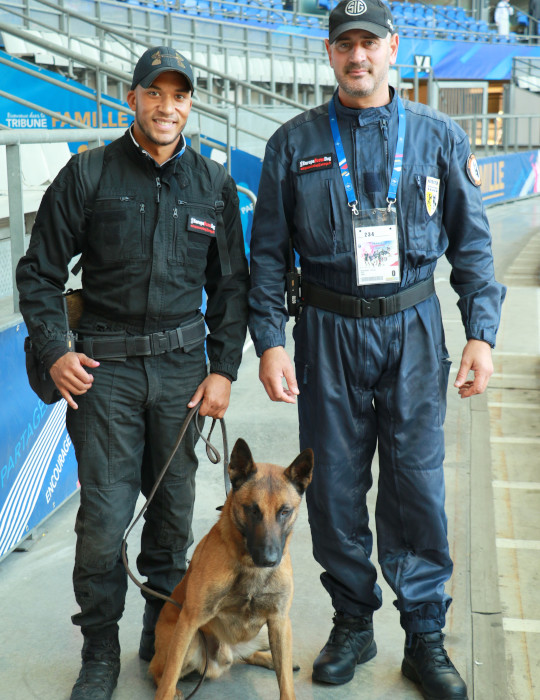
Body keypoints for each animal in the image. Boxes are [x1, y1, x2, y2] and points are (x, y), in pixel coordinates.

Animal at [150, 438, 314, 700]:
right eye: (253, 510)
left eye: (285, 511)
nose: (269, 559)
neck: (251, 568)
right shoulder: (189, 621)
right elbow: (168, 677)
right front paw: (168, 691)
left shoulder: (279, 621)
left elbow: (286, 683)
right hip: (192, 641)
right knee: (158, 670)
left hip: (269, 632)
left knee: (253, 657)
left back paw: (271, 659)